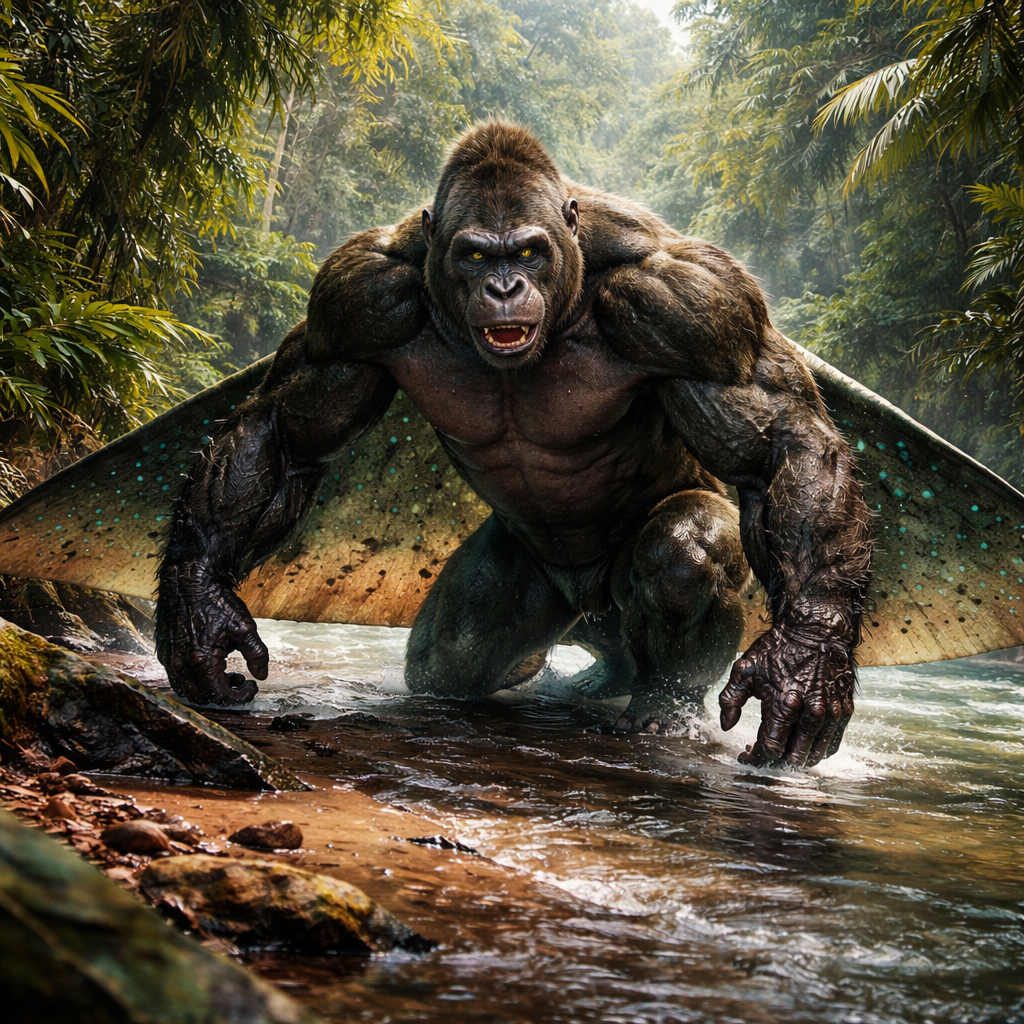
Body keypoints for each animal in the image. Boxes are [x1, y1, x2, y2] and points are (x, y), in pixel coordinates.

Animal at [156, 123, 872, 768]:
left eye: (526, 253)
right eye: (476, 256)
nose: (504, 288)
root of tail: (584, 596)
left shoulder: (697, 307)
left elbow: (780, 441)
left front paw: (807, 657)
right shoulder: (353, 300)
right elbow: (279, 433)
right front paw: (200, 608)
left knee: (680, 554)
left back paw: (662, 705)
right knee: (453, 655)